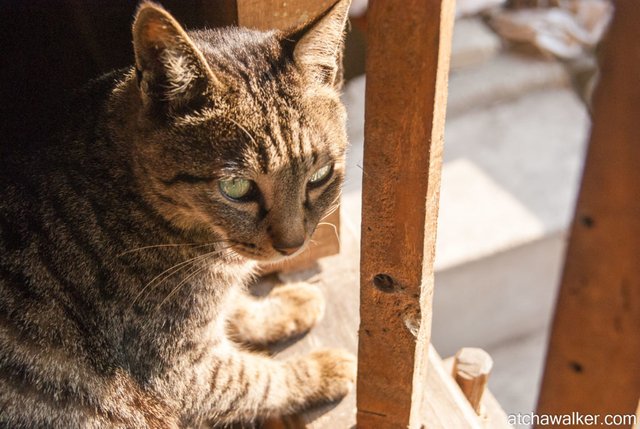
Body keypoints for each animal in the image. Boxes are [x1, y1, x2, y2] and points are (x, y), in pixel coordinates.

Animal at [0, 1, 356, 426]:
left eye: (319, 175)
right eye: (236, 187)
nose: (293, 245)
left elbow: (238, 309)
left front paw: (284, 306)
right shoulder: (180, 370)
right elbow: (259, 381)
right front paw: (322, 369)